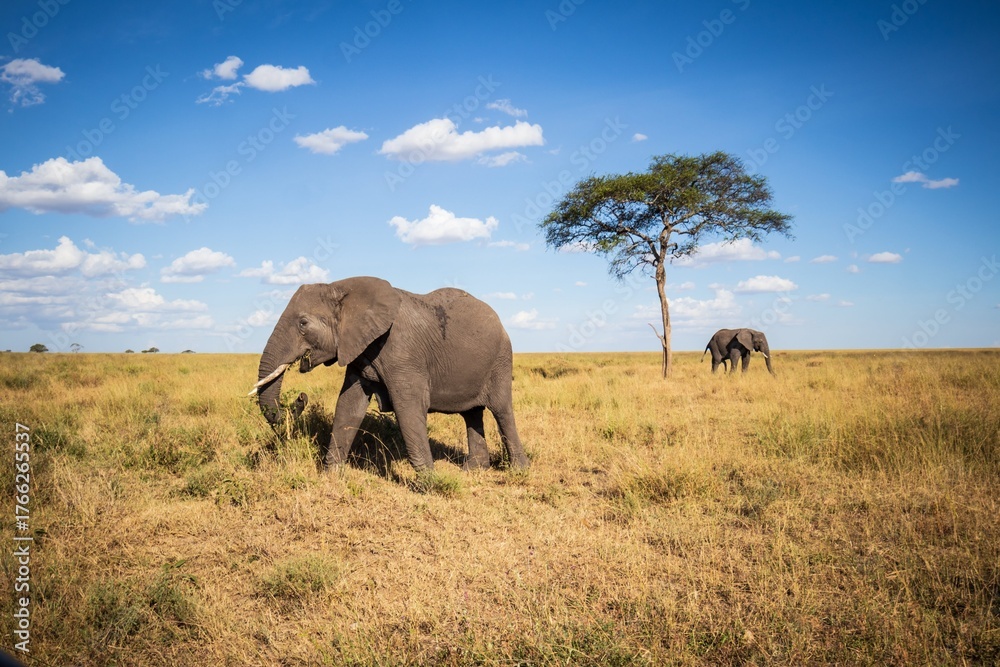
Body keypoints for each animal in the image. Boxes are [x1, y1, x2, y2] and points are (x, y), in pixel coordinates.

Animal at [248, 276, 530, 473]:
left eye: (303, 323)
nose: (300, 396)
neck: (342, 287)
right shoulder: (359, 349)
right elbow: (348, 406)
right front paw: (331, 476)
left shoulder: (402, 352)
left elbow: (409, 408)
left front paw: (430, 483)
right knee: (471, 413)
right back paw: (474, 470)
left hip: (501, 359)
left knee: (502, 410)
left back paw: (518, 470)